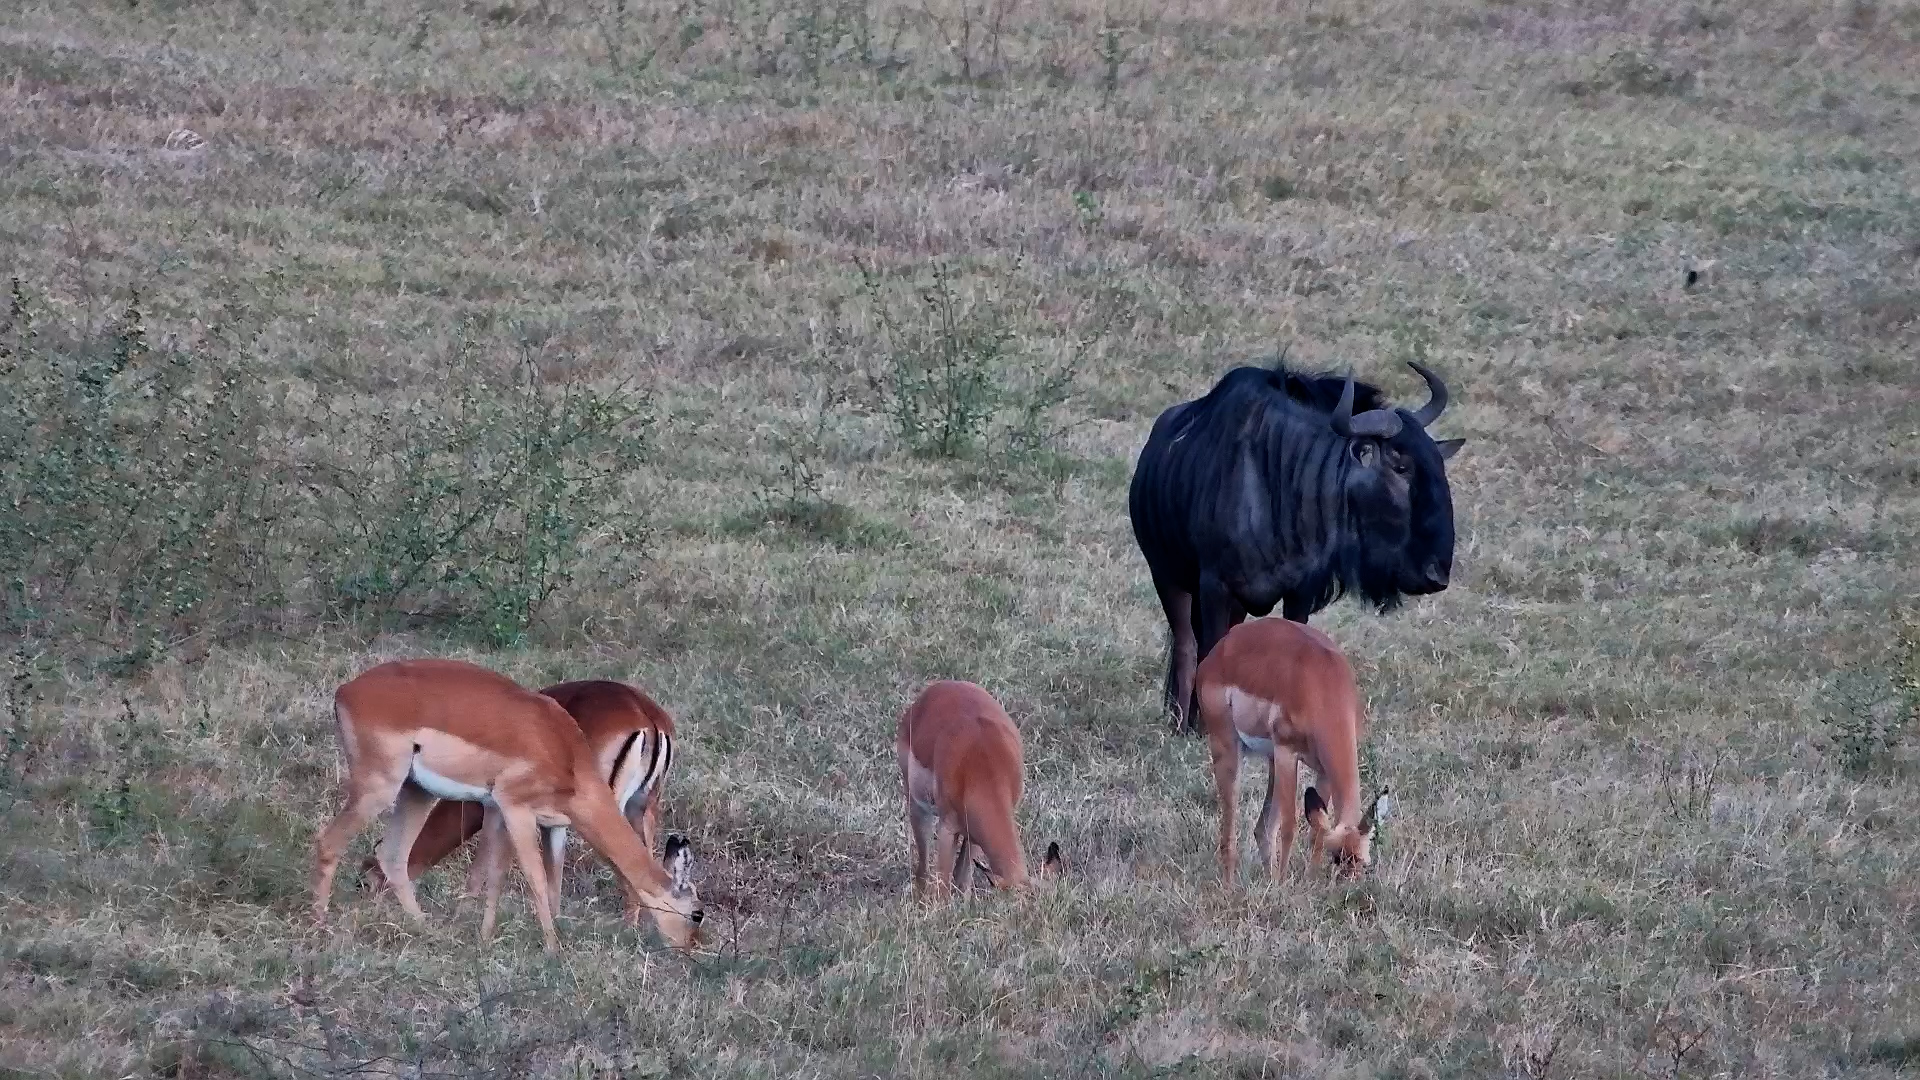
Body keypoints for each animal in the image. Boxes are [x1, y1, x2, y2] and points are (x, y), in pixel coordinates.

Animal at [898, 680, 1062, 896]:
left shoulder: (973, 834)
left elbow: (962, 881)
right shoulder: (947, 828)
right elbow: (943, 889)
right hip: (917, 806)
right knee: (922, 870)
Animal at [1196, 617, 1390, 882]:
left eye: (1363, 861)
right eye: (1336, 858)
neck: (1323, 685)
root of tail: (1221, 648)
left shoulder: (1323, 770)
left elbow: (1316, 831)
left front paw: (1308, 879)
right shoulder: (1287, 753)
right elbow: (1290, 827)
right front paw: (1283, 884)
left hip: (1272, 762)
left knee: (1263, 828)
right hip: (1231, 750)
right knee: (1230, 833)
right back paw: (1232, 885)